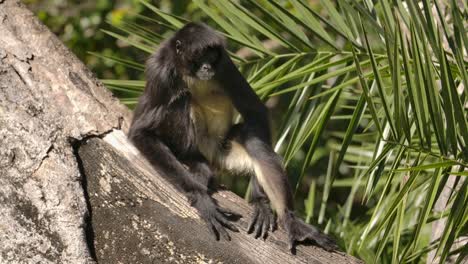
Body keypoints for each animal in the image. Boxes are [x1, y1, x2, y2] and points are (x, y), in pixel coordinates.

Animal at [128, 21, 336, 253]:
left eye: (211, 57)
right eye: (198, 57)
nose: (207, 68)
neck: (191, 75)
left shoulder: (224, 63)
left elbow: (255, 111)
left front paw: (261, 199)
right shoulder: (160, 71)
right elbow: (140, 132)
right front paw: (201, 198)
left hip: (223, 148)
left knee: (254, 144)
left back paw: (289, 219)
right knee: (181, 98)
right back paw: (195, 161)